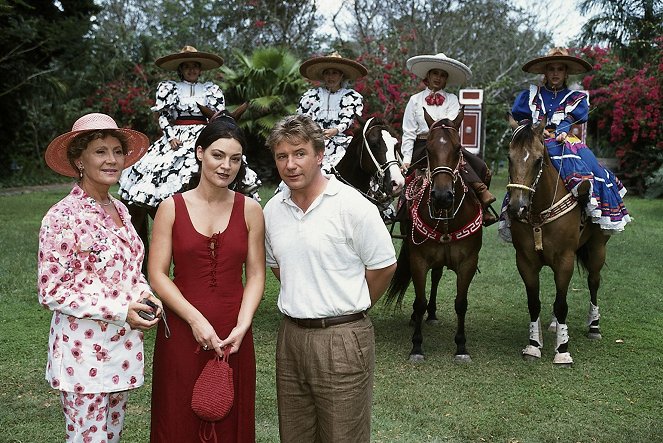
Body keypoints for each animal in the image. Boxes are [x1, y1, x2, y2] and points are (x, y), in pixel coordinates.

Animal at [384, 109, 482, 362]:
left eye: (458, 149)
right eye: (428, 150)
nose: (442, 196)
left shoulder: (468, 262)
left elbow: (461, 303)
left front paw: (461, 347)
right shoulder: (418, 259)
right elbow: (419, 301)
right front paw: (417, 346)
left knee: (437, 276)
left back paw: (433, 314)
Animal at [508, 116, 612, 366]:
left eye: (538, 160)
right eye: (509, 158)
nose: (517, 207)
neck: (539, 212)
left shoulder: (565, 259)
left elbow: (562, 303)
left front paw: (563, 350)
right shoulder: (525, 261)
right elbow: (535, 303)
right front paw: (533, 345)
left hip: (597, 248)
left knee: (594, 282)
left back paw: (594, 327)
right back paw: (555, 324)